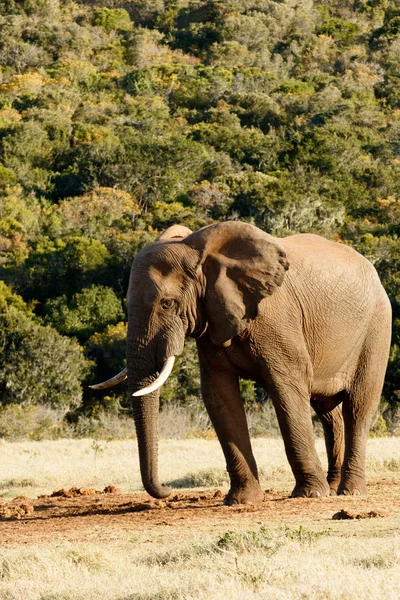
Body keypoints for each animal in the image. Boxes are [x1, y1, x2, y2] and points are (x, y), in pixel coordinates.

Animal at [90, 223, 390, 504]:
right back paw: (335, 487)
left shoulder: (278, 322)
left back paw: (351, 491)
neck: (200, 253)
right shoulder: (212, 317)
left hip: (377, 328)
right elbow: (219, 395)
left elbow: (287, 390)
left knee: (357, 408)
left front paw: (310, 494)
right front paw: (241, 500)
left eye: (167, 304)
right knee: (329, 413)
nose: (167, 489)